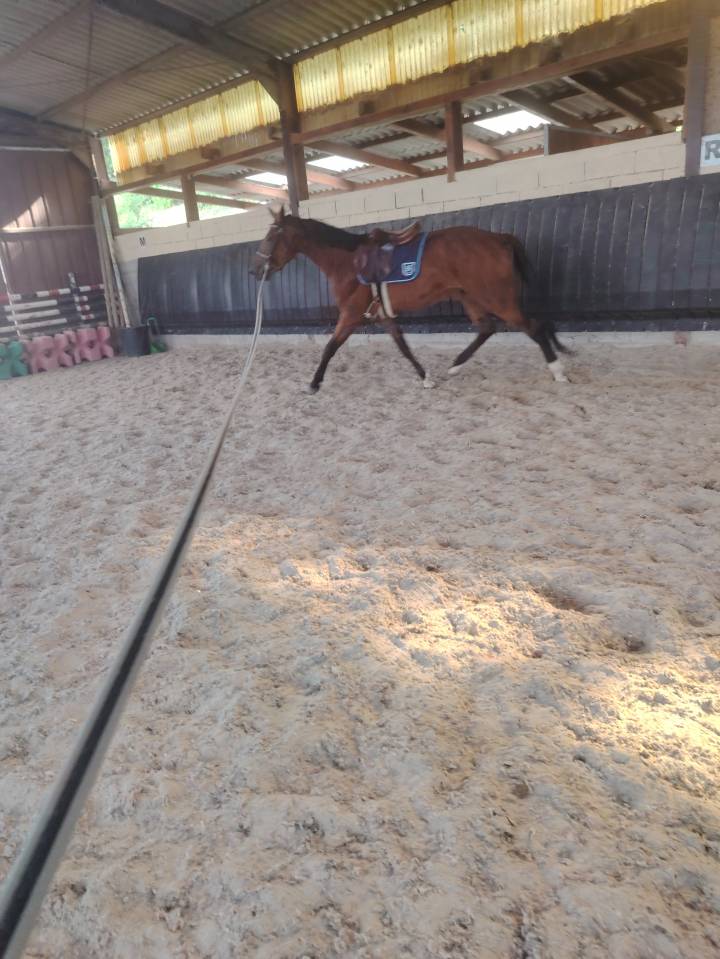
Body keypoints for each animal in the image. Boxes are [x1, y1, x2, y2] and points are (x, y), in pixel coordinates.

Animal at [252, 205, 571, 393]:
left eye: (270, 237)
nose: (254, 270)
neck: (348, 262)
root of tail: (499, 238)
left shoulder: (350, 316)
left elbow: (329, 348)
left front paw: (314, 383)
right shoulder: (383, 316)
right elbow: (403, 347)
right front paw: (425, 378)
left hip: (498, 299)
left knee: (534, 327)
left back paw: (558, 372)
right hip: (471, 297)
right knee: (487, 329)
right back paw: (456, 365)